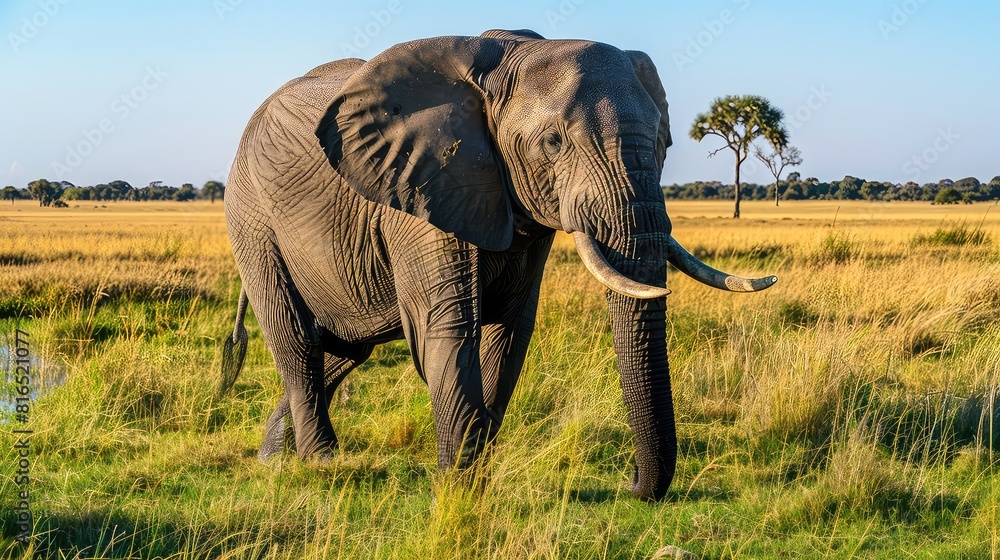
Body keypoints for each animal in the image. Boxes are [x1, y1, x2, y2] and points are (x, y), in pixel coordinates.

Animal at [218, 29, 776, 501]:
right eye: (553, 142)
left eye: (665, 143)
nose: (634, 484)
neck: (511, 55)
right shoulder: (426, 186)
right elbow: (448, 330)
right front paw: (460, 493)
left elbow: (509, 332)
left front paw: (473, 479)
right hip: (252, 219)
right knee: (298, 341)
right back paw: (321, 465)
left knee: (344, 349)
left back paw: (275, 458)